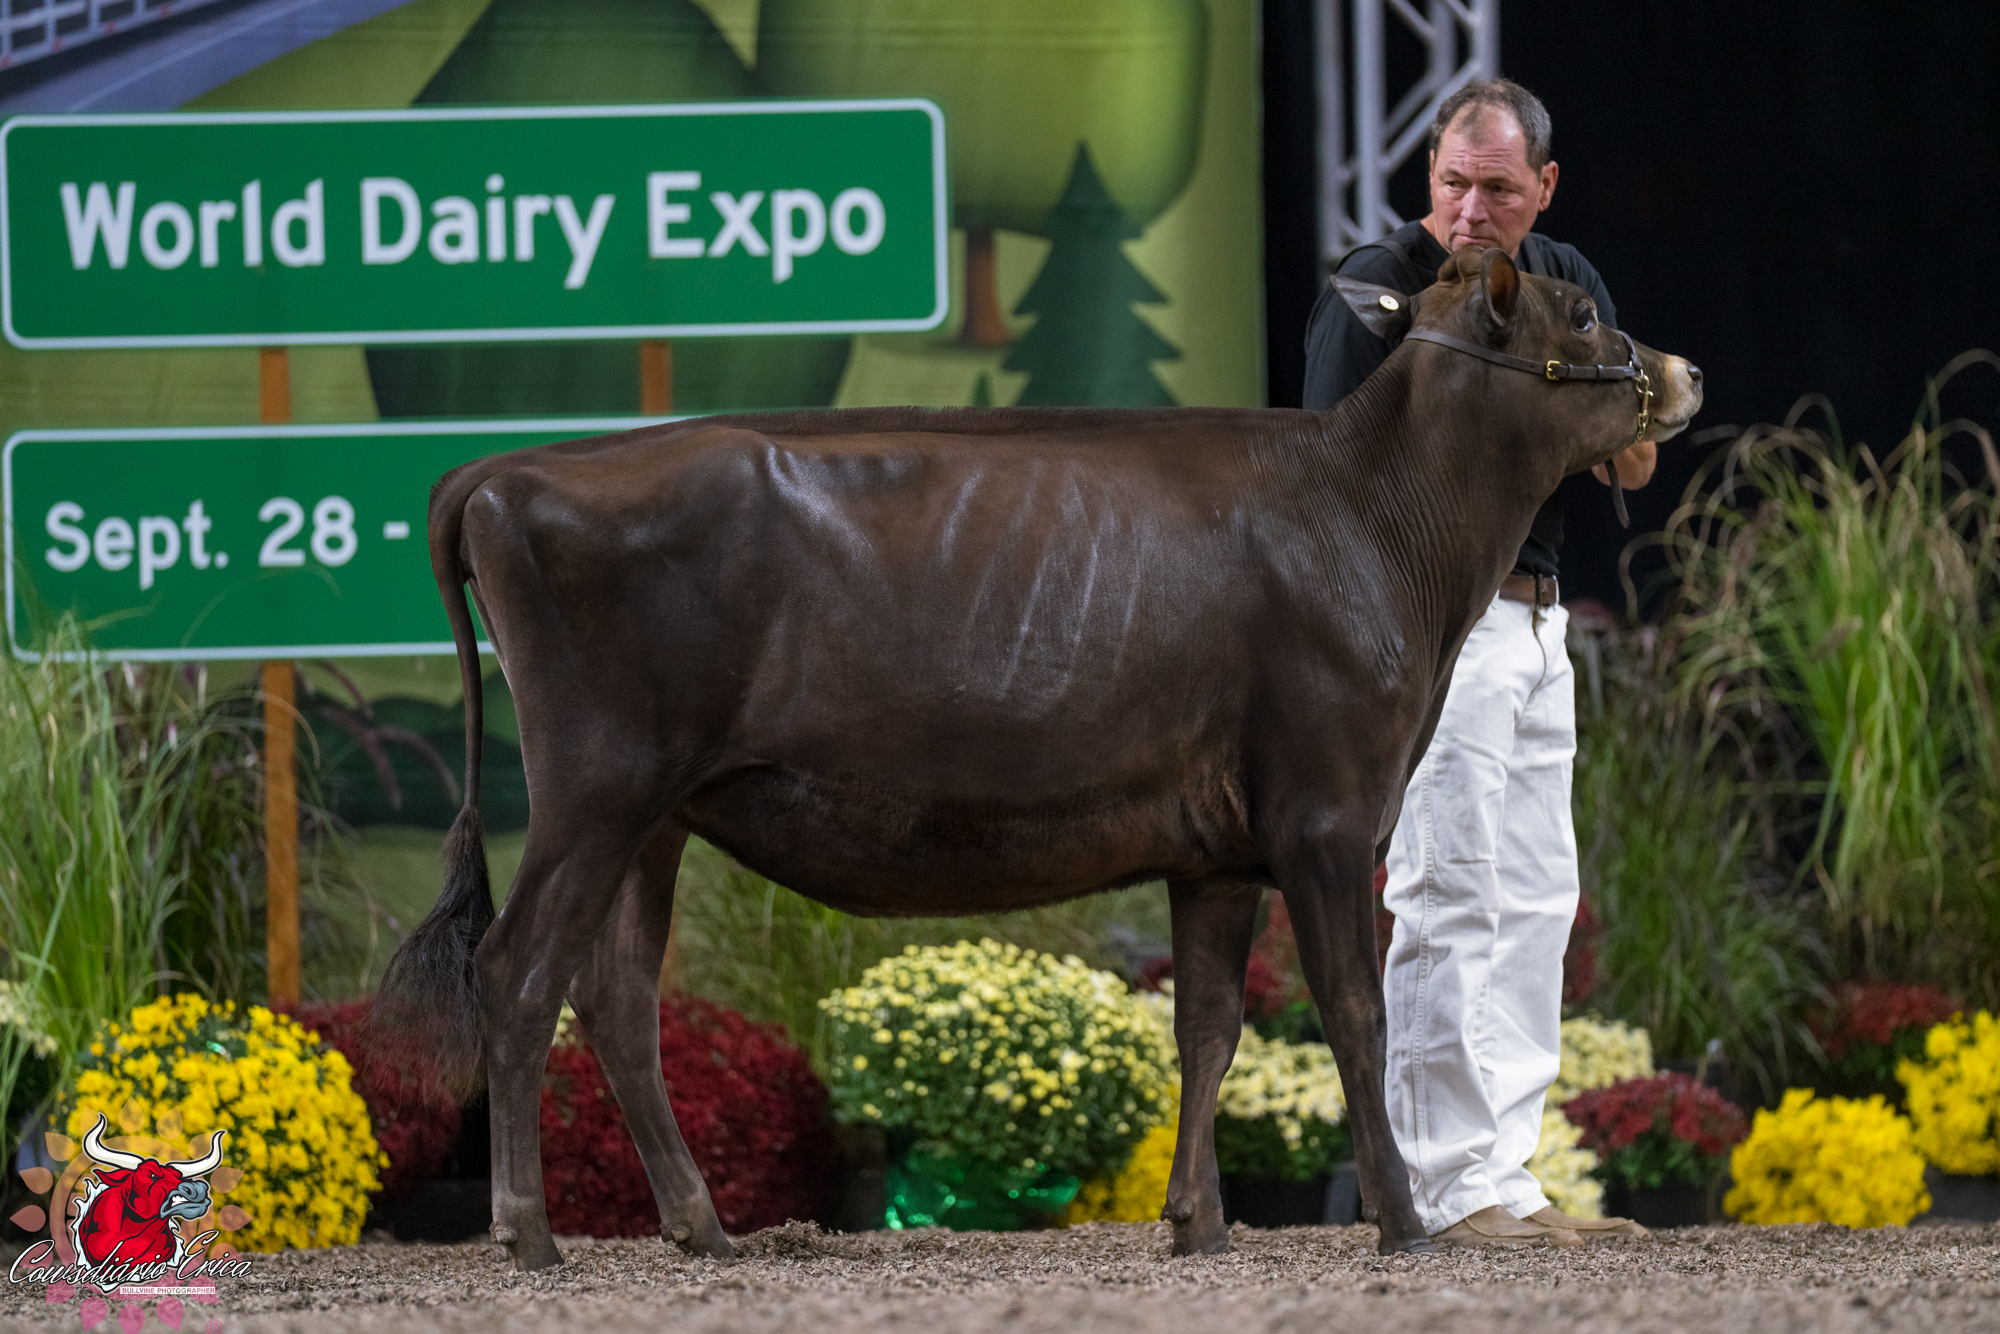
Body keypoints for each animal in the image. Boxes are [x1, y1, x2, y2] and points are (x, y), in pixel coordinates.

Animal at [377, 244, 1701, 1271]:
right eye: (1581, 312)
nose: (1684, 369)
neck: (1375, 520)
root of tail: (506, 469)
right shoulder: (1327, 815)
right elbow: (1353, 1014)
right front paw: (1400, 1220)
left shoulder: (1218, 849)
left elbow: (1208, 1025)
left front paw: (1195, 1221)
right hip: (595, 785)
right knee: (516, 971)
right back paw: (526, 1230)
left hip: (653, 815)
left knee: (613, 995)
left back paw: (703, 1226)